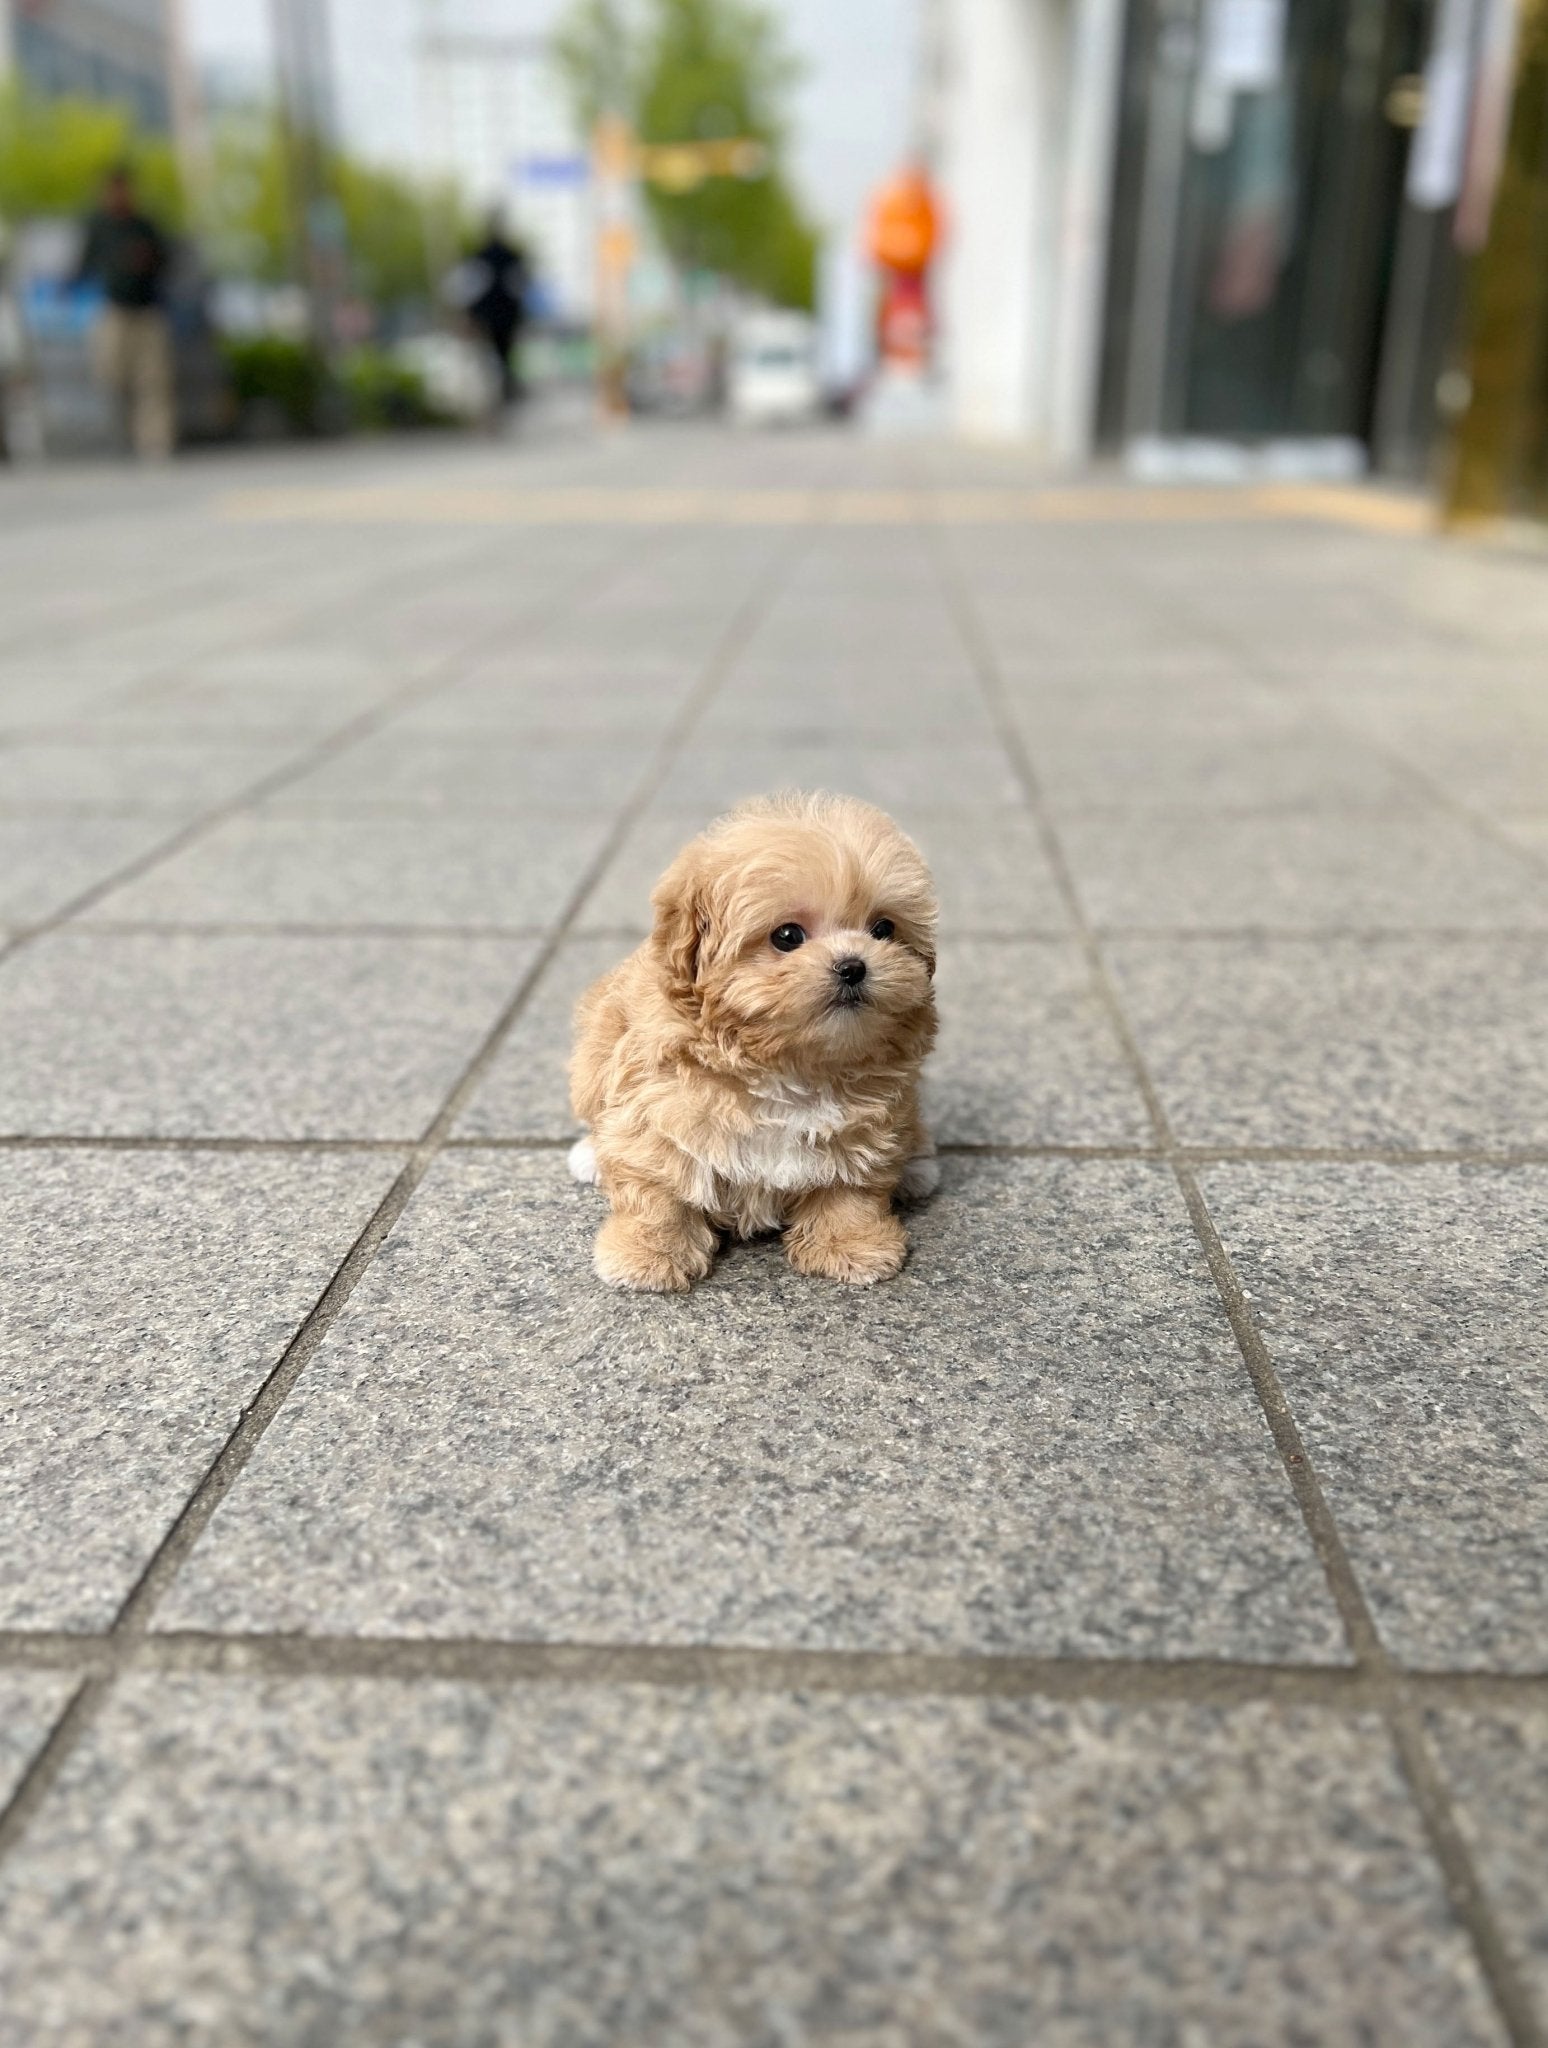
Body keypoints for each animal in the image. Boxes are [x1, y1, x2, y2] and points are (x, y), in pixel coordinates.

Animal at [565, 790, 937, 1286]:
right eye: (787, 936)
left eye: (883, 929)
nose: (853, 966)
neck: (787, 1065)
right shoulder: (653, 1108)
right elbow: (658, 1188)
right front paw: (648, 1254)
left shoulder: (865, 1126)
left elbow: (850, 1186)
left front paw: (852, 1244)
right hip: (592, 1060)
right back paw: (590, 1156)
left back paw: (917, 1167)